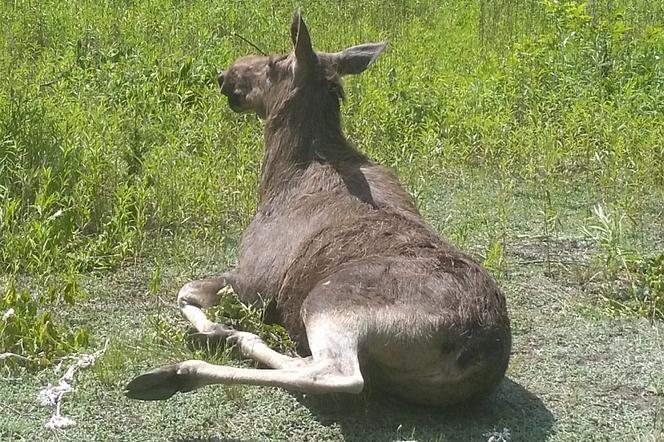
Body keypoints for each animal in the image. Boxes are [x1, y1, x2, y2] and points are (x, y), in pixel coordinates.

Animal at [123, 12, 508, 408]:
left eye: (275, 62)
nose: (225, 74)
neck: (278, 176)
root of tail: (476, 349)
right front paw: (224, 330)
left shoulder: (256, 279)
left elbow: (184, 291)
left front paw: (216, 326)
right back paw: (237, 340)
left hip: (329, 301)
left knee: (337, 374)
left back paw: (181, 369)